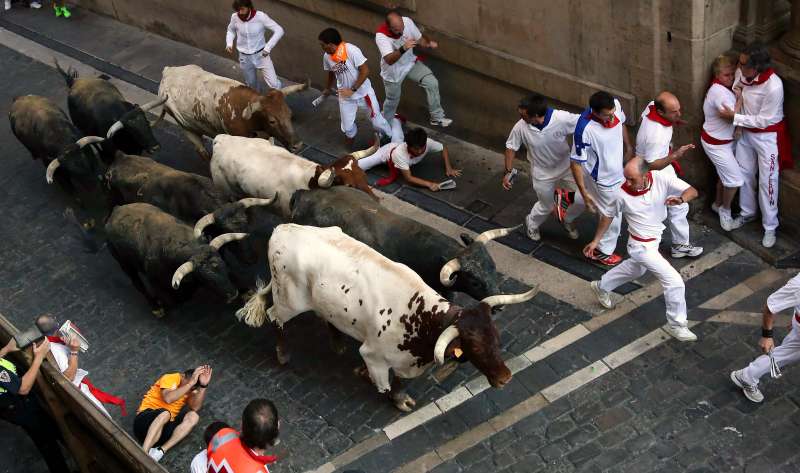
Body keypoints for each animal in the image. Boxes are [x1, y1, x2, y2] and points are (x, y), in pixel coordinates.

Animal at [159, 63, 306, 159]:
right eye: (272, 121)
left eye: (290, 115)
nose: (297, 145)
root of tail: (168, 71)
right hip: (187, 128)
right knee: (202, 152)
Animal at [209, 134, 378, 218]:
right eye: (349, 186)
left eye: (364, 177)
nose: (376, 202)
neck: (310, 180)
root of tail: (220, 139)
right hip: (223, 188)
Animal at [238, 224, 536, 410]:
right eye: (473, 345)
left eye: (495, 338)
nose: (505, 378)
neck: (421, 317)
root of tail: (283, 229)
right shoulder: (374, 356)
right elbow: (384, 384)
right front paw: (391, 396)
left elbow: (400, 380)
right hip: (288, 300)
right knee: (275, 316)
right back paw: (282, 354)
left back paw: (336, 342)